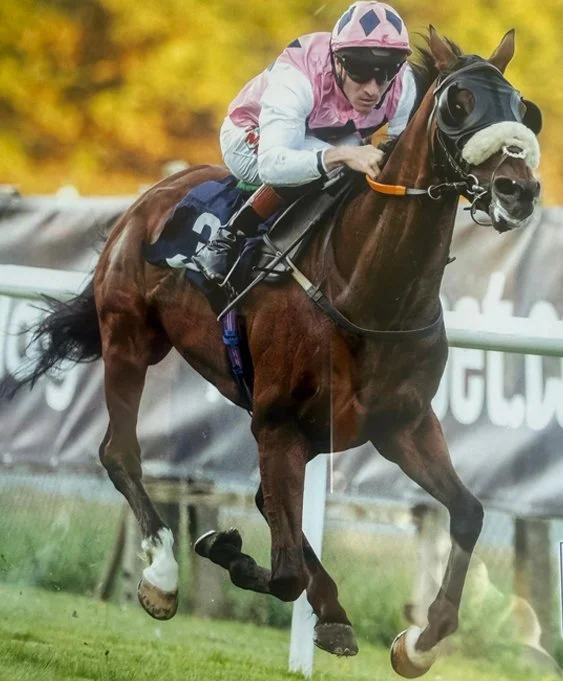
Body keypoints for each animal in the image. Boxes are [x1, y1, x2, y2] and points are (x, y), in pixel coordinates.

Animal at [15, 27, 541, 677]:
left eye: (523, 109)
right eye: (458, 104)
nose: (518, 190)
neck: (367, 292)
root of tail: (152, 196)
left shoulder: (403, 424)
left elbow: (468, 512)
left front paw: (416, 641)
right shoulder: (277, 421)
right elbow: (285, 572)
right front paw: (226, 552)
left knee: (268, 501)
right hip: (129, 336)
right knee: (120, 452)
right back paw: (163, 576)